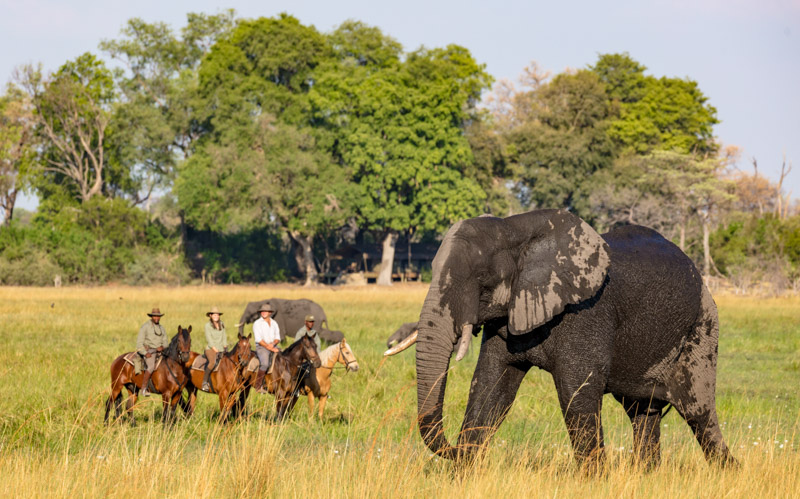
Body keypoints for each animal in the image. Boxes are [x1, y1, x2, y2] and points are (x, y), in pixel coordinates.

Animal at [390, 208, 736, 468]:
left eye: (481, 279)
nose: (455, 449)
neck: (514, 230)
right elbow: (490, 387)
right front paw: (461, 473)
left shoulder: (587, 313)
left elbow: (576, 393)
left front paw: (595, 482)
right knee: (643, 414)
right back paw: (645, 476)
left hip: (702, 330)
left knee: (699, 413)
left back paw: (727, 472)